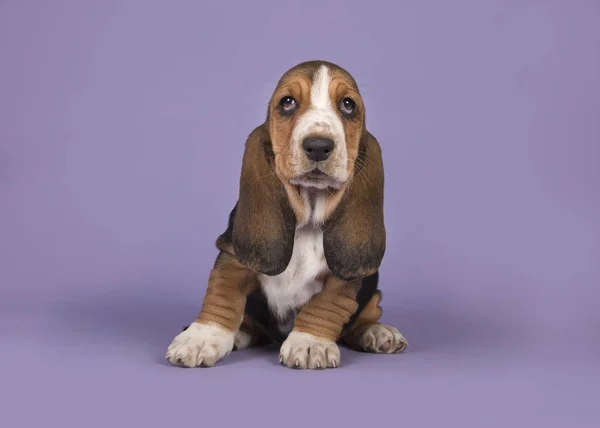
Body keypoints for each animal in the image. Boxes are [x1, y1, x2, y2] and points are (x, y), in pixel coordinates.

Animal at [165, 58, 408, 370]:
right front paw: (201, 337)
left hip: (374, 291)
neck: (308, 218)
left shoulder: (345, 280)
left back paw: (377, 333)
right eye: (288, 102)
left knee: (364, 316)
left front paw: (310, 343)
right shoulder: (232, 254)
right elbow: (222, 293)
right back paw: (239, 334)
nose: (318, 146)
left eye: (348, 105)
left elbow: (328, 304)